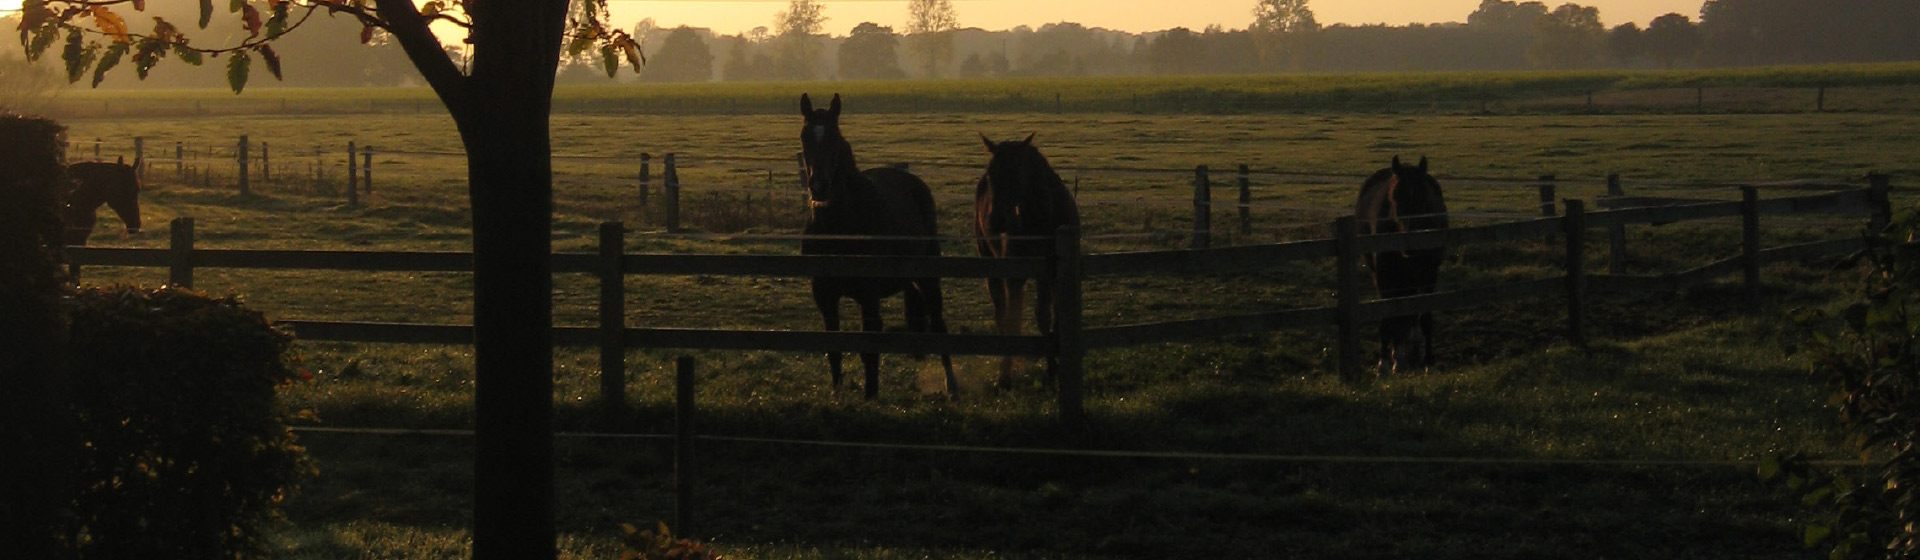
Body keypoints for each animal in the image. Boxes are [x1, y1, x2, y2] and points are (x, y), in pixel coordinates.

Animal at [794, 93, 960, 398]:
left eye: (834, 137)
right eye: (804, 137)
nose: (819, 186)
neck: (839, 227)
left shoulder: (868, 296)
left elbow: (870, 349)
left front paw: (870, 396)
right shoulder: (824, 295)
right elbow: (833, 348)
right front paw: (837, 394)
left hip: (929, 278)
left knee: (939, 326)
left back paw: (952, 387)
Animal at [975, 131, 1082, 389]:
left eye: (1015, 173)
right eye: (990, 174)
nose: (995, 221)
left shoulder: (1050, 274)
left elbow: (1048, 316)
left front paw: (1053, 368)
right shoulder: (1014, 276)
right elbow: (1013, 319)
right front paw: (1005, 375)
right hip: (992, 267)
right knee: (1002, 314)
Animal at [1359, 155, 1443, 377]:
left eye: (1424, 197)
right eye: (1395, 197)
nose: (1410, 245)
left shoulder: (1429, 276)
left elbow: (1424, 318)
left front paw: (1427, 359)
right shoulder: (1384, 277)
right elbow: (1388, 318)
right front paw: (1385, 363)